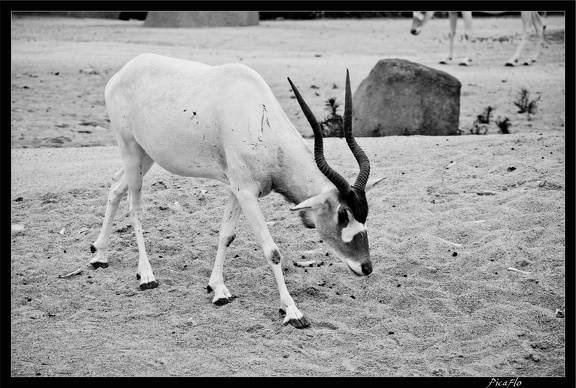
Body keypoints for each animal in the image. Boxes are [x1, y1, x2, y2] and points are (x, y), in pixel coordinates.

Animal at [90, 53, 384, 328]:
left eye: (365, 214)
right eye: (342, 215)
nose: (366, 267)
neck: (259, 117)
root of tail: (123, 72)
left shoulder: (236, 188)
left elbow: (227, 235)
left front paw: (218, 289)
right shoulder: (247, 193)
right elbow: (272, 251)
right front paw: (292, 312)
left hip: (146, 155)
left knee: (115, 186)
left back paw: (100, 255)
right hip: (130, 149)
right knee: (135, 208)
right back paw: (146, 275)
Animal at [410, 11, 544, 66]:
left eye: (423, 11)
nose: (413, 31)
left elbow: (468, 33)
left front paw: (465, 60)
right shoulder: (452, 11)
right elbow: (451, 32)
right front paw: (446, 58)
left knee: (528, 29)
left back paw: (512, 60)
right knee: (539, 26)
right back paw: (530, 59)